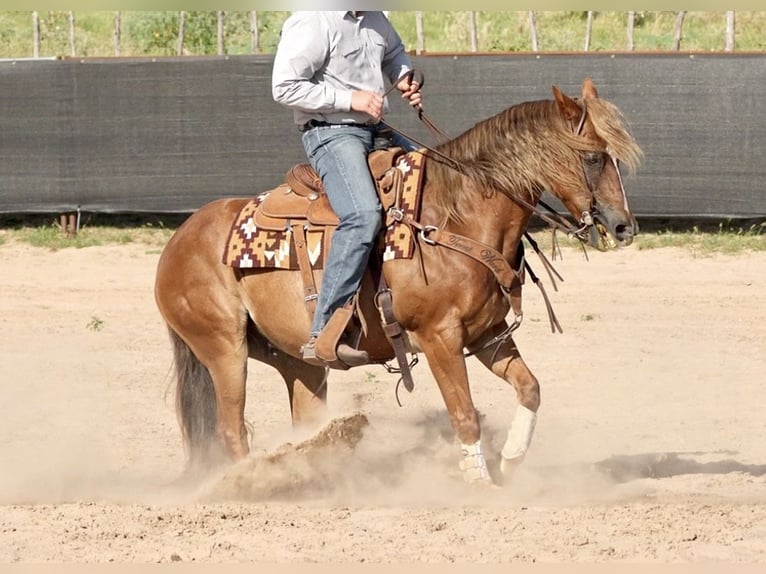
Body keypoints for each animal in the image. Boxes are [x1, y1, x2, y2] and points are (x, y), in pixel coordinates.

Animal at [154, 77, 640, 486]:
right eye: (593, 157)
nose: (623, 227)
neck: (455, 217)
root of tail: (178, 240)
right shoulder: (439, 337)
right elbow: (464, 414)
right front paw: (480, 483)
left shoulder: (488, 333)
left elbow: (530, 388)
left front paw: (512, 459)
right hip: (224, 349)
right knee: (231, 430)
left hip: (297, 363)